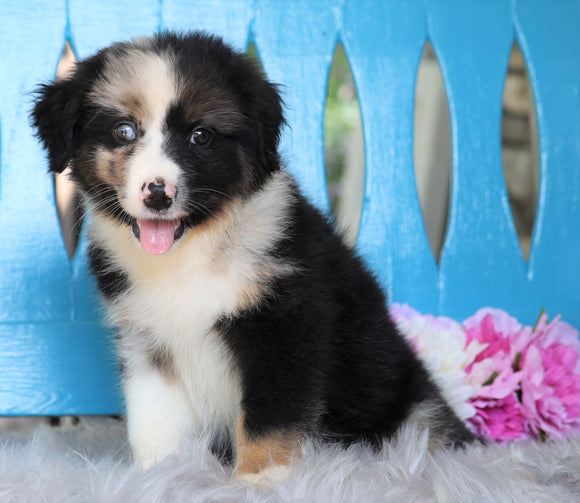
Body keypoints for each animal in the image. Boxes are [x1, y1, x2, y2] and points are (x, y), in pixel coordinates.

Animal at [31, 32, 474, 484]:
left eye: (201, 136)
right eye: (124, 131)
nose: (157, 195)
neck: (192, 251)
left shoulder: (283, 325)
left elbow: (270, 416)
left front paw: (262, 478)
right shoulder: (147, 339)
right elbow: (153, 417)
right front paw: (159, 474)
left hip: (416, 409)